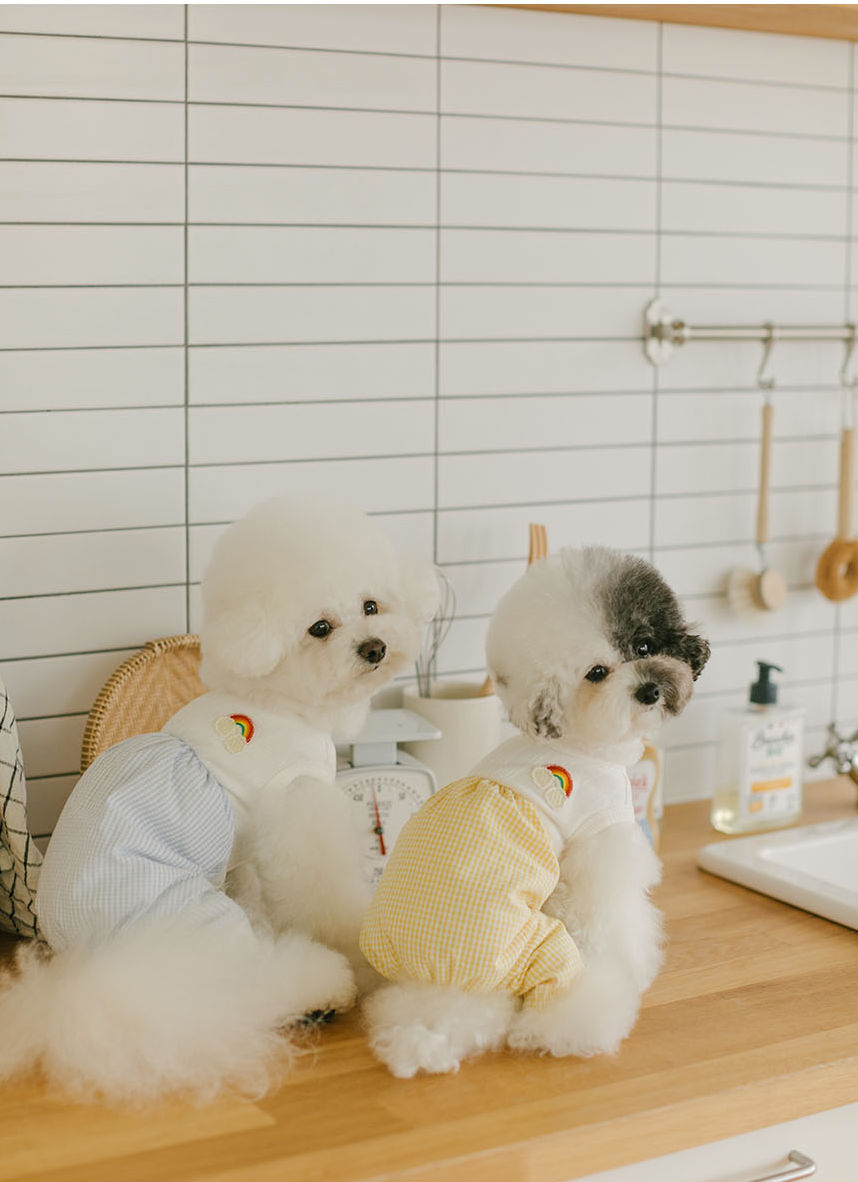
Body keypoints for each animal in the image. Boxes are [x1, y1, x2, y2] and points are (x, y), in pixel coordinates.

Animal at [0, 494, 439, 1101]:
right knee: (248, 986)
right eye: (319, 628)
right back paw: (320, 989)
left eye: (372, 605)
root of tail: (94, 968)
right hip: (196, 921)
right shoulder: (300, 810)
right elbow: (327, 899)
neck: (281, 701)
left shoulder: (250, 852)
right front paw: (362, 952)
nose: (374, 647)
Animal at [359, 548, 709, 1077]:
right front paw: (639, 964)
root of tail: (444, 978)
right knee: (558, 1000)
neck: (581, 741)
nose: (648, 690)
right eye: (596, 674)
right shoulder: (601, 848)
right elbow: (619, 918)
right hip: (538, 945)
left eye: (644, 644)